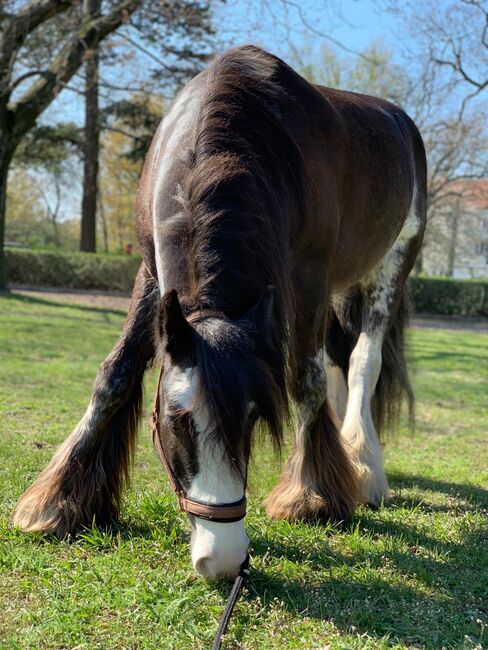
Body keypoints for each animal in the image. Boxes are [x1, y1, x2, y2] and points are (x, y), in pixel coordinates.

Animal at [13, 45, 426, 579]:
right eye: (176, 421)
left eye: (251, 418)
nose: (223, 559)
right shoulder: (150, 274)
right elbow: (115, 374)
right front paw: (58, 502)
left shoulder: (309, 279)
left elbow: (304, 380)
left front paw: (312, 496)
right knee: (340, 359)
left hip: (391, 266)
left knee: (361, 362)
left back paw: (364, 466)